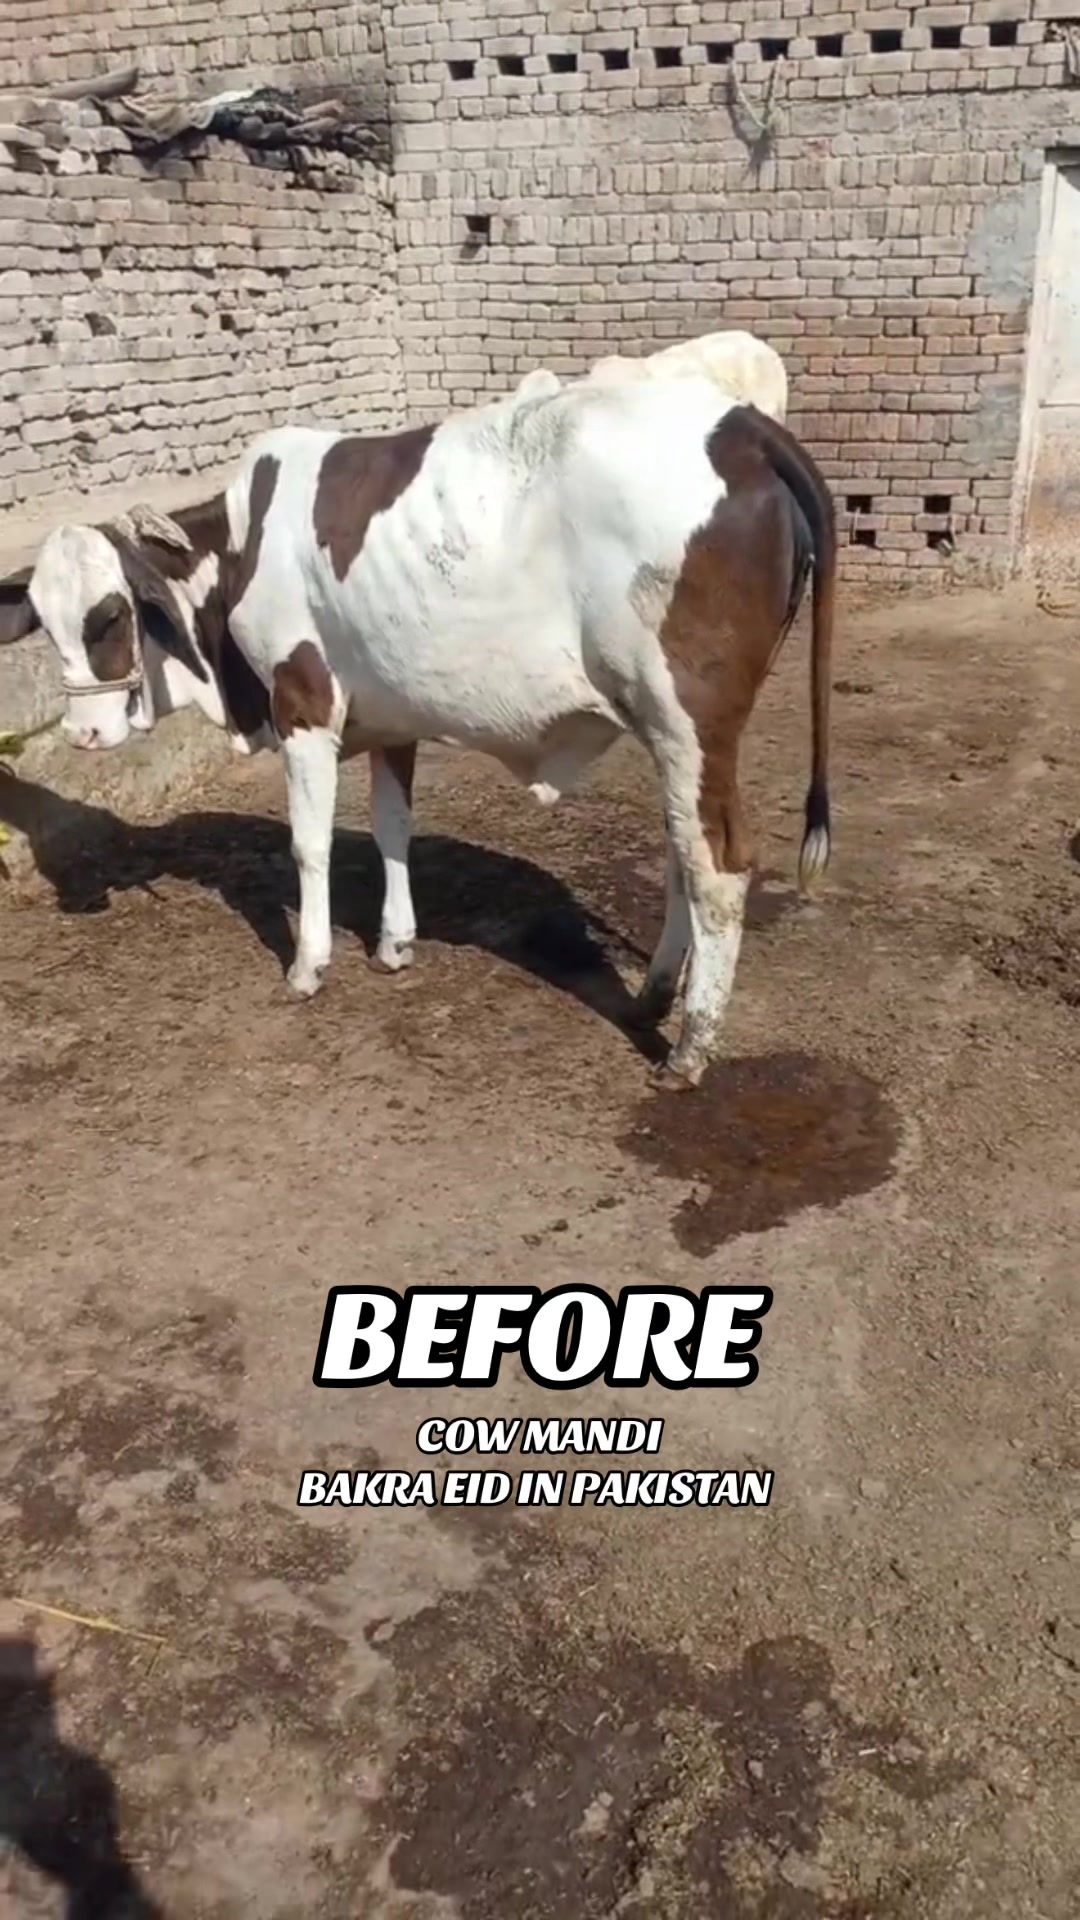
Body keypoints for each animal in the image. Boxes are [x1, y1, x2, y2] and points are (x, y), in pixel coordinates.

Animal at [0, 374, 834, 1087]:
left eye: (110, 615)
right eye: (44, 620)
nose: (83, 733)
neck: (242, 550)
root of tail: (739, 425)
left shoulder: (304, 704)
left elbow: (309, 844)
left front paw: (309, 965)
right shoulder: (391, 709)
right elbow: (391, 827)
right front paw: (394, 943)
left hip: (689, 718)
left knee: (718, 863)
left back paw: (690, 1047)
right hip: (671, 734)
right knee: (681, 851)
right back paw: (657, 992)